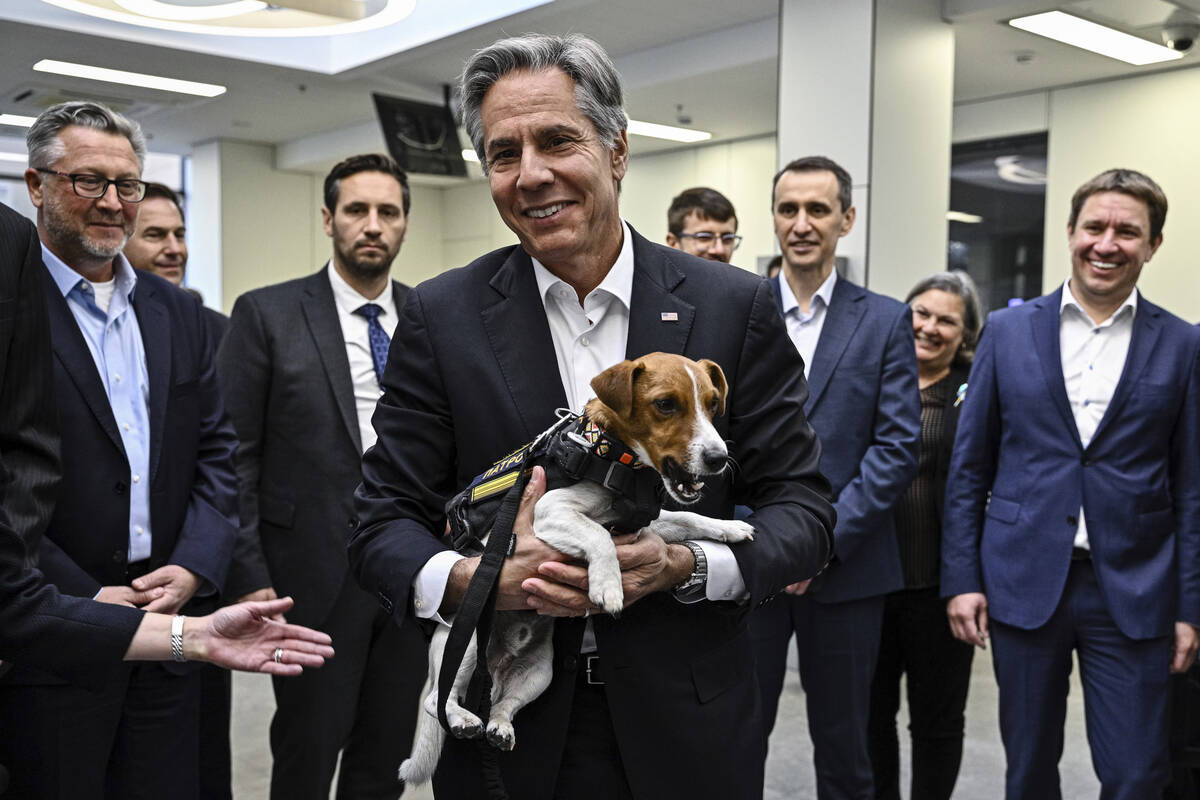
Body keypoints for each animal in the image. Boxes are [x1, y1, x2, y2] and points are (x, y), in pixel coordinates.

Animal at [403, 352, 758, 786]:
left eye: (711, 404)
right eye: (665, 404)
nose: (718, 459)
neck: (613, 455)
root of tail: (495, 668)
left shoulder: (645, 524)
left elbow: (689, 520)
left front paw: (729, 527)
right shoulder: (548, 514)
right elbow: (598, 535)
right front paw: (608, 585)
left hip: (539, 673)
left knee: (503, 704)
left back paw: (500, 726)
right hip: (465, 643)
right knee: (436, 700)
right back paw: (460, 718)